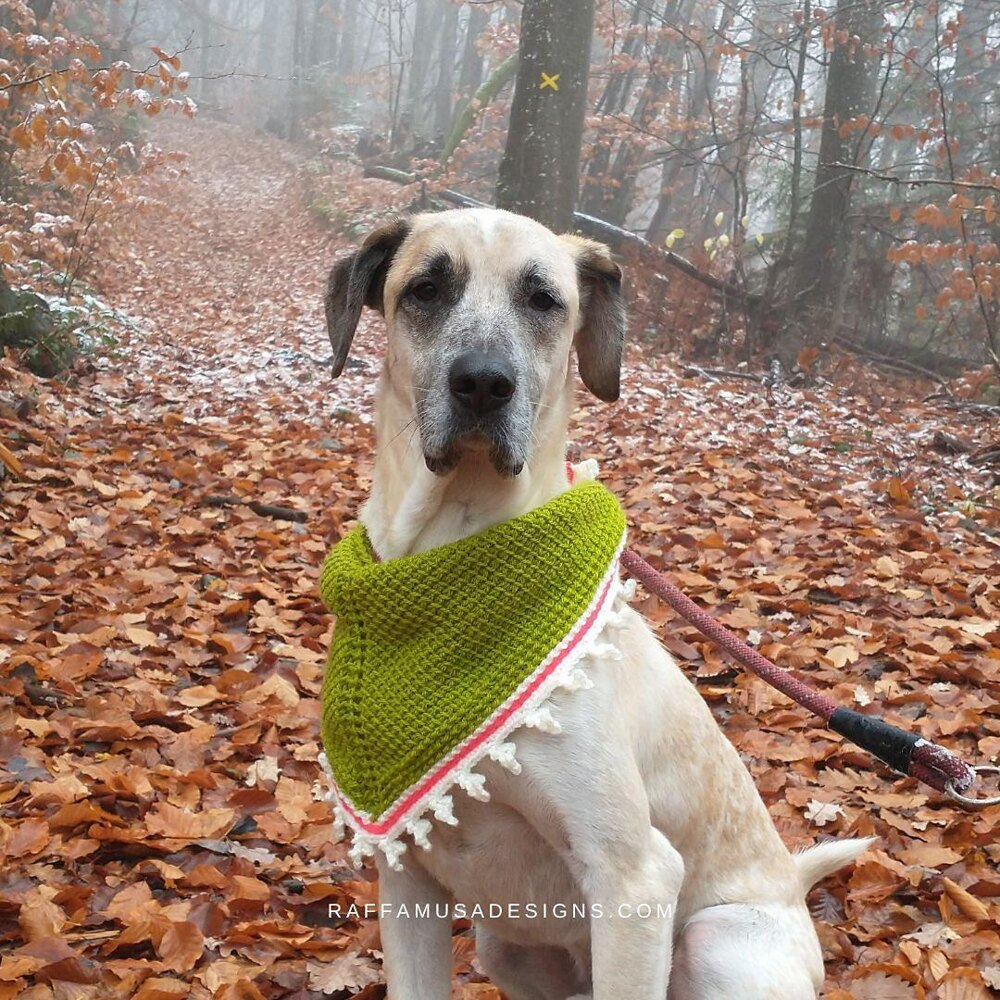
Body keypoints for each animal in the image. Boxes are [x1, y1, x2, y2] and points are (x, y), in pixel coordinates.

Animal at [322, 207, 868, 996]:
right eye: (426, 288)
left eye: (545, 300)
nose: (483, 383)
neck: (454, 548)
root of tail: (794, 889)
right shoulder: (407, 880)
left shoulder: (634, 882)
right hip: (505, 947)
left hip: (715, 944)